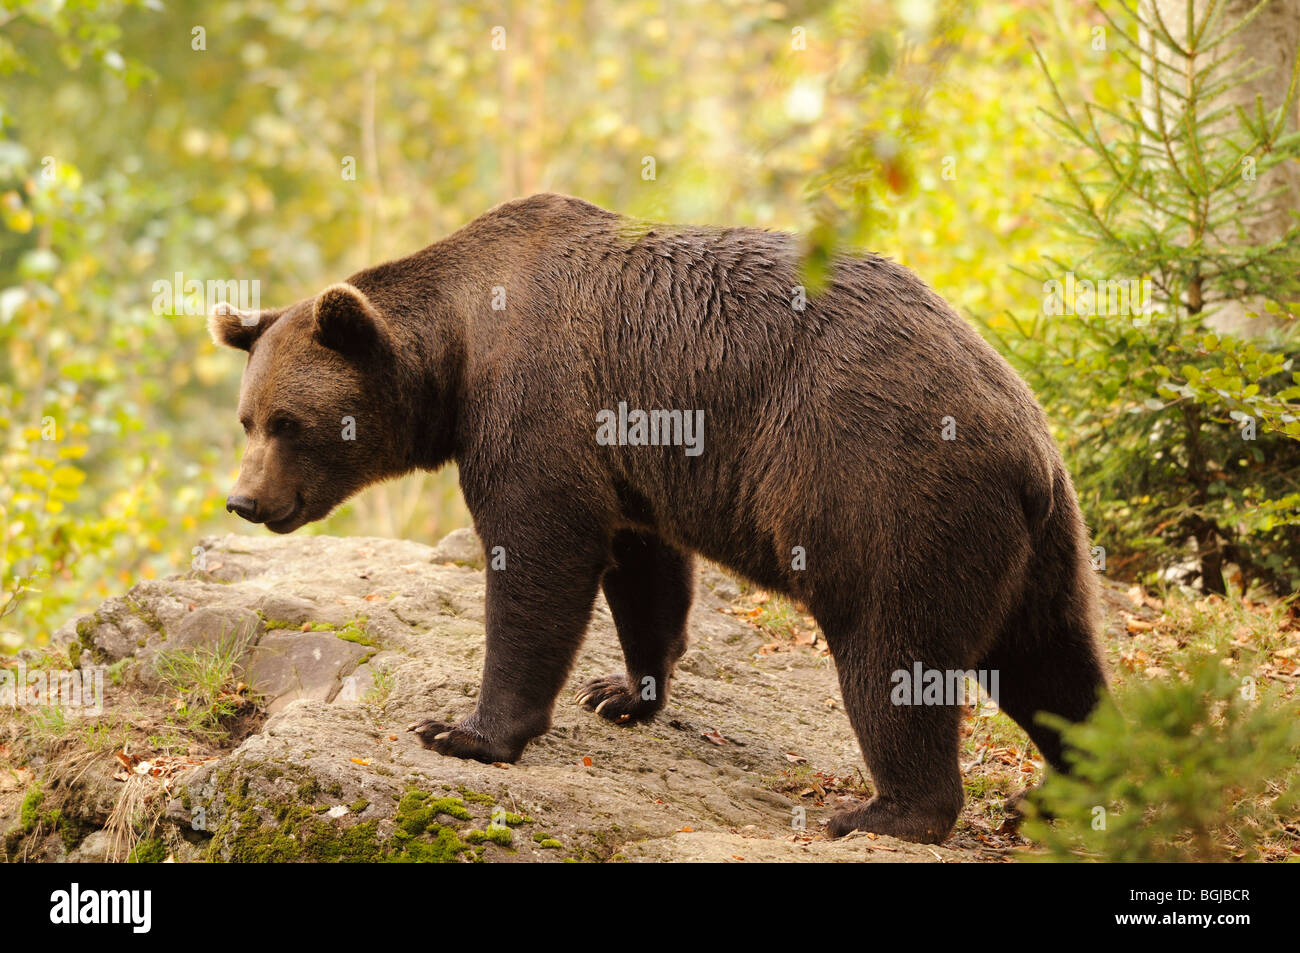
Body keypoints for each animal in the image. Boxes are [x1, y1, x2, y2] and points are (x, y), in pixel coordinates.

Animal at [209, 192, 1106, 844]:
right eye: (247, 419)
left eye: (289, 421)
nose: (245, 501)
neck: (458, 350)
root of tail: (1027, 444)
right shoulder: (627, 452)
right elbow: (643, 569)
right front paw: (621, 688)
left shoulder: (537, 403)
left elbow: (538, 558)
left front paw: (464, 729)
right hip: (1039, 541)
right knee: (1052, 658)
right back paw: (1069, 787)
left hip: (887, 493)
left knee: (892, 649)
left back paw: (881, 811)